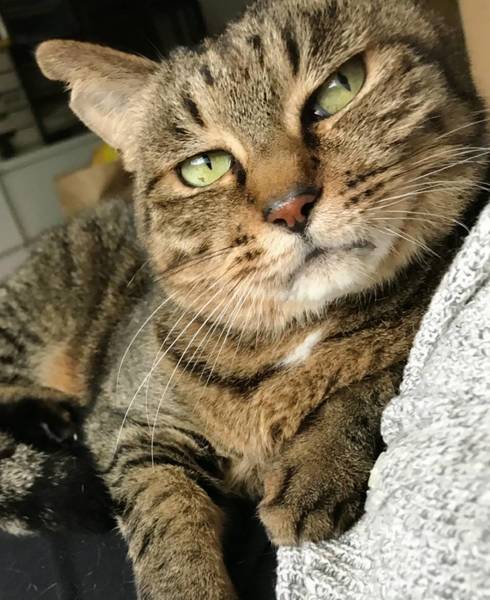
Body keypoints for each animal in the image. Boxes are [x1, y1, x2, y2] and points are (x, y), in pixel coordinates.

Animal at [0, 0, 488, 598]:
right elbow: (165, 517)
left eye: (340, 89)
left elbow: (373, 380)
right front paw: (187, 584)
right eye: (203, 167)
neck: (294, 333)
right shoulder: (128, 424)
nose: (290, 206)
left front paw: (319, 467)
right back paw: (50, 414)